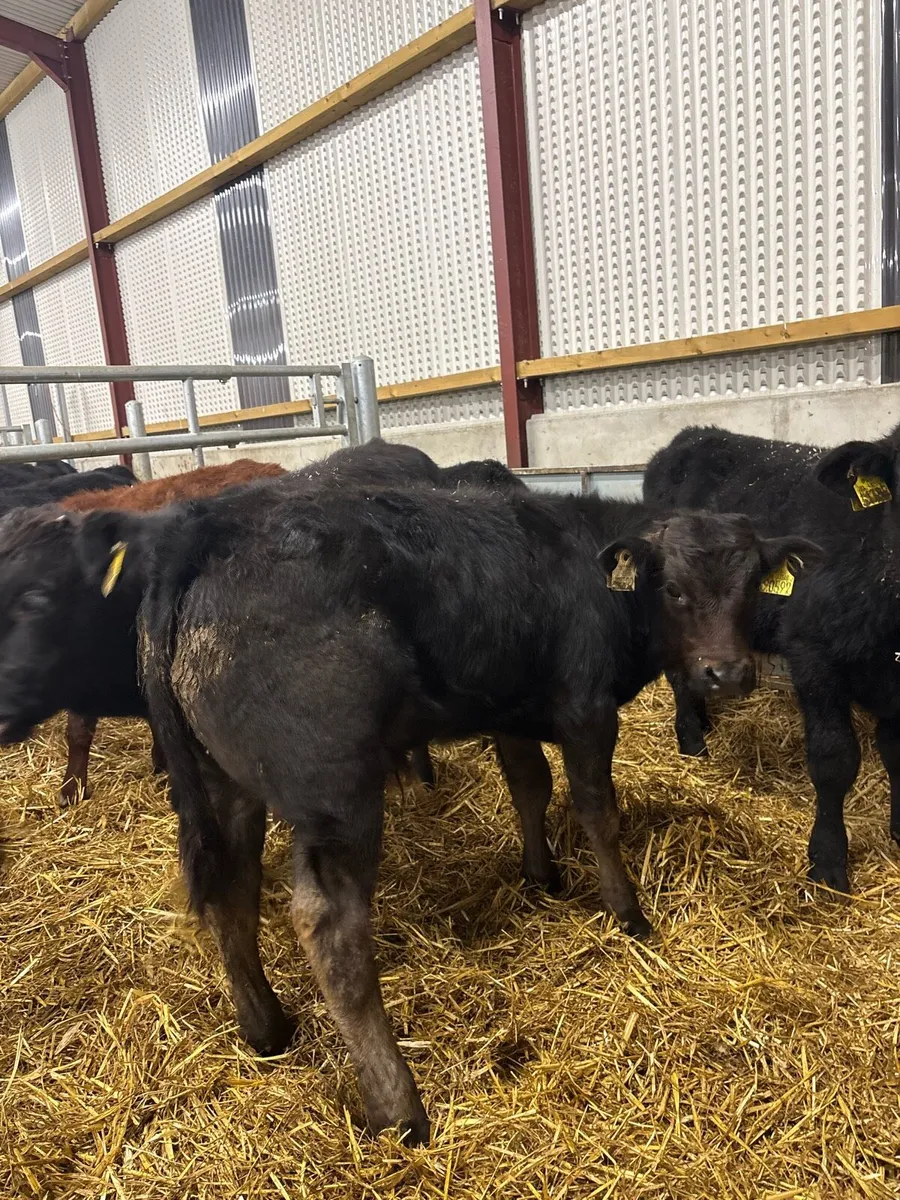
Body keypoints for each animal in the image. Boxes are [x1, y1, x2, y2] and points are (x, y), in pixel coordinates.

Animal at [139, 478, 822, 1144]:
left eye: (751, 586)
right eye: (674, 589)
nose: (726, 674)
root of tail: (215, 531)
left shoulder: (511, 710)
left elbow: (529, 785)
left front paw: (543, 875)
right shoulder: (587, 708)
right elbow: (596, 809)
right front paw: (628, 912)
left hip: (224, 783)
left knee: (232, 892)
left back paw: (267, 1028)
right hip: (336, 794)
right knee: (329, 924)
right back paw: (399, 1107)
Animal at [643, 424, 900, 893]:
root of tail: (692, 434)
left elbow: (896, 752)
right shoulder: (812, 652)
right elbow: (834, 759)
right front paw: (828, 862)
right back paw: (692, 741)